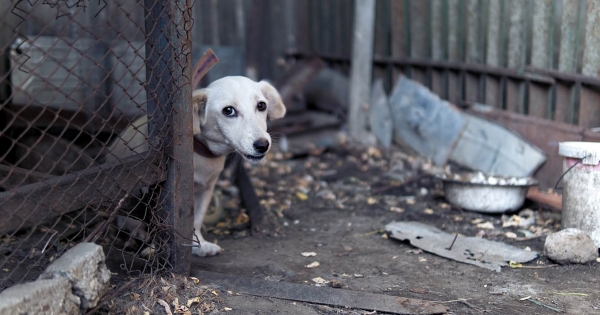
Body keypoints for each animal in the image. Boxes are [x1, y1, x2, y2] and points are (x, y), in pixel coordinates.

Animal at [106, 76, 288, 256]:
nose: (263, 145)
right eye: (228, 111)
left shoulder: (206, 190)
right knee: (127, 222)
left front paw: (198, 246)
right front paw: (155, 249)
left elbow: (196, 220)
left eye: (261, 105)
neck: (201, 154)